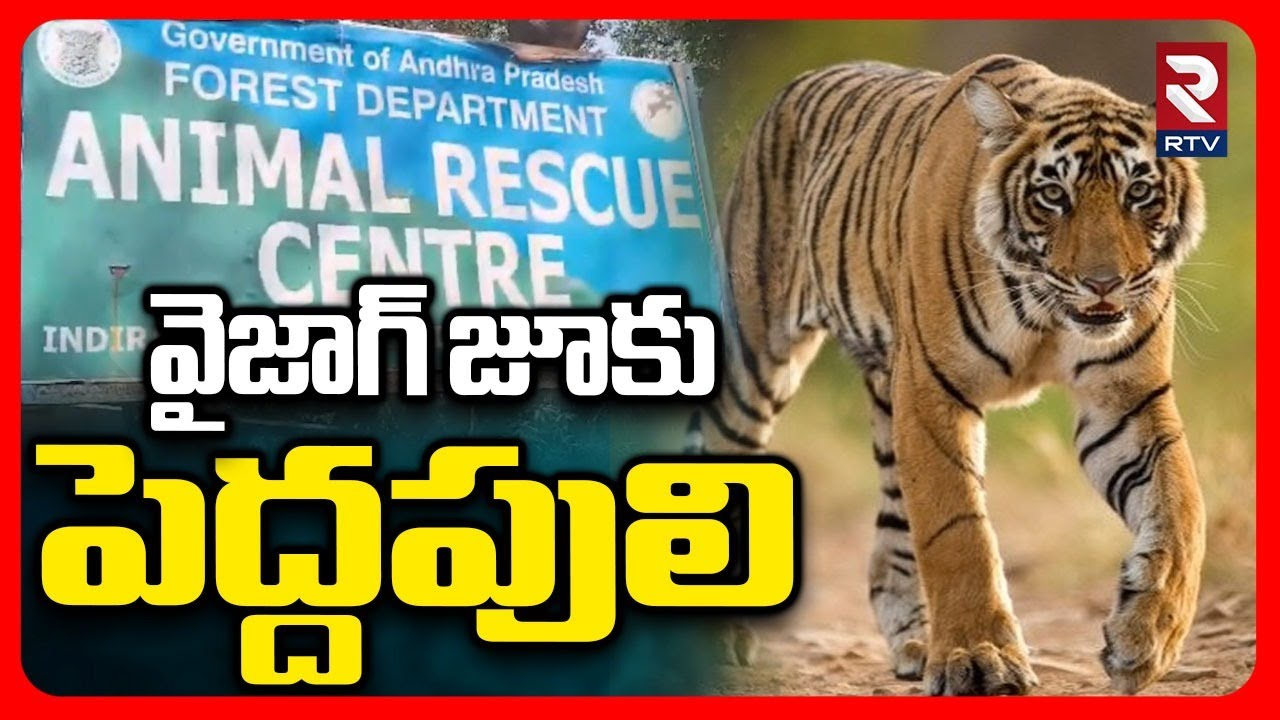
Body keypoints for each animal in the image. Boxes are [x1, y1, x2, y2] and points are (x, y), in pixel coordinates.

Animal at [689, 54, 1207, 695]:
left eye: (1138, 193)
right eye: (1052, 195)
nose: (1103, 284)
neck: (1045, 309)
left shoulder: (1125, 401)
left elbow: (1181, 508)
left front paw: (1146, 639)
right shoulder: (933, 390)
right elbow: (957, 528)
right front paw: (980, 659)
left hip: (887, 400)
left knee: (890, 540)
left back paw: (914, 642)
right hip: (755, 360)